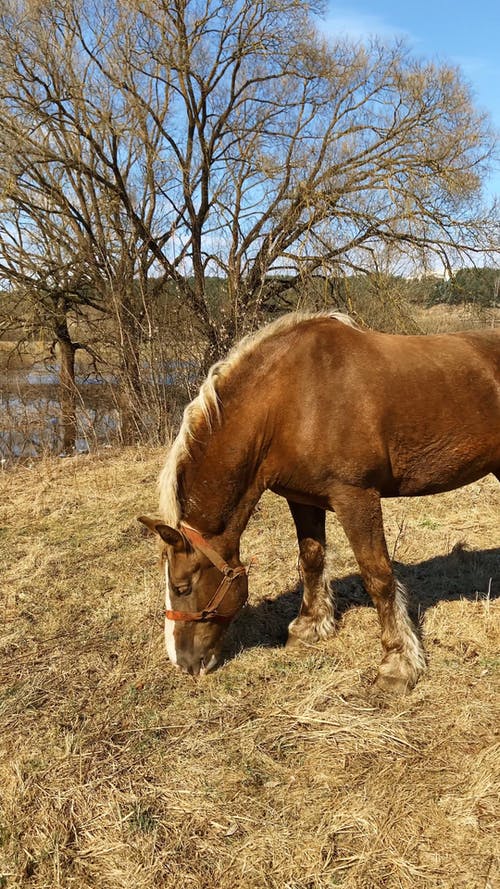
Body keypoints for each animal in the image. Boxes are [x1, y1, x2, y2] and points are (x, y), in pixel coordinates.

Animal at [140, 312, 500, 692]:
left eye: (181, 586)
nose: (182, 662)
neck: (289, 403)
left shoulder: (355, 497)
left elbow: (378, 576)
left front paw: (398, 663)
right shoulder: (303, 499)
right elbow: (311, 559)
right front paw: (309, 628)